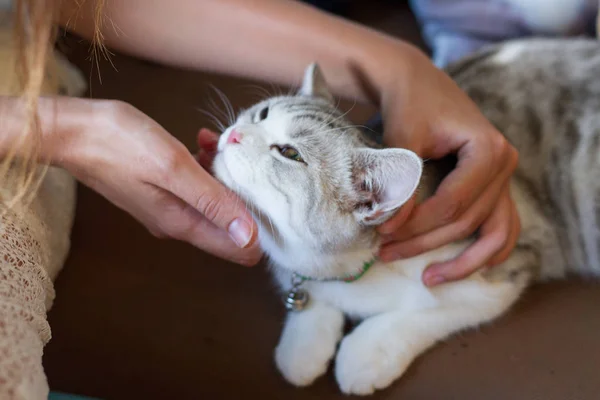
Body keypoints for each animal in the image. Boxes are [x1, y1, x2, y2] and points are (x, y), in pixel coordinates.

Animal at [212, 38, 600, 396]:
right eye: (262, 115)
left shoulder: (500, 267)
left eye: (289, 152)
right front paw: (303, 347)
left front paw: (366, 352)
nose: (235, 134)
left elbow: (433, 312)